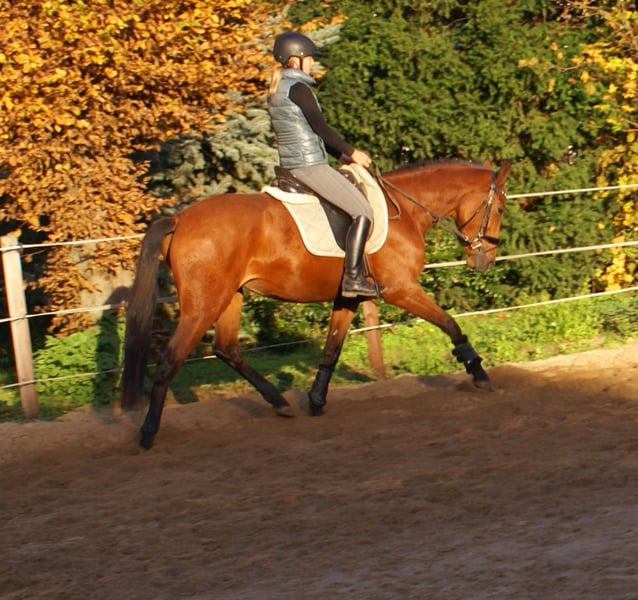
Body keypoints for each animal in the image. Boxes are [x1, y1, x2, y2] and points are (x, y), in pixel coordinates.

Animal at [120, 159, 512, 449]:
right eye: (500, 208)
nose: (485, 261)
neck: (404, 211)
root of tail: (179, 219)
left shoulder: (349, 296)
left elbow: (331, 348)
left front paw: (316, 399)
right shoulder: (401, 290)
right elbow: (451, 324)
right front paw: (478, 373)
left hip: (230, 296)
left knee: (226, 348)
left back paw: (279, 402)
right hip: (204, 303)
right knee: (170, 359)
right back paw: (148, 433)